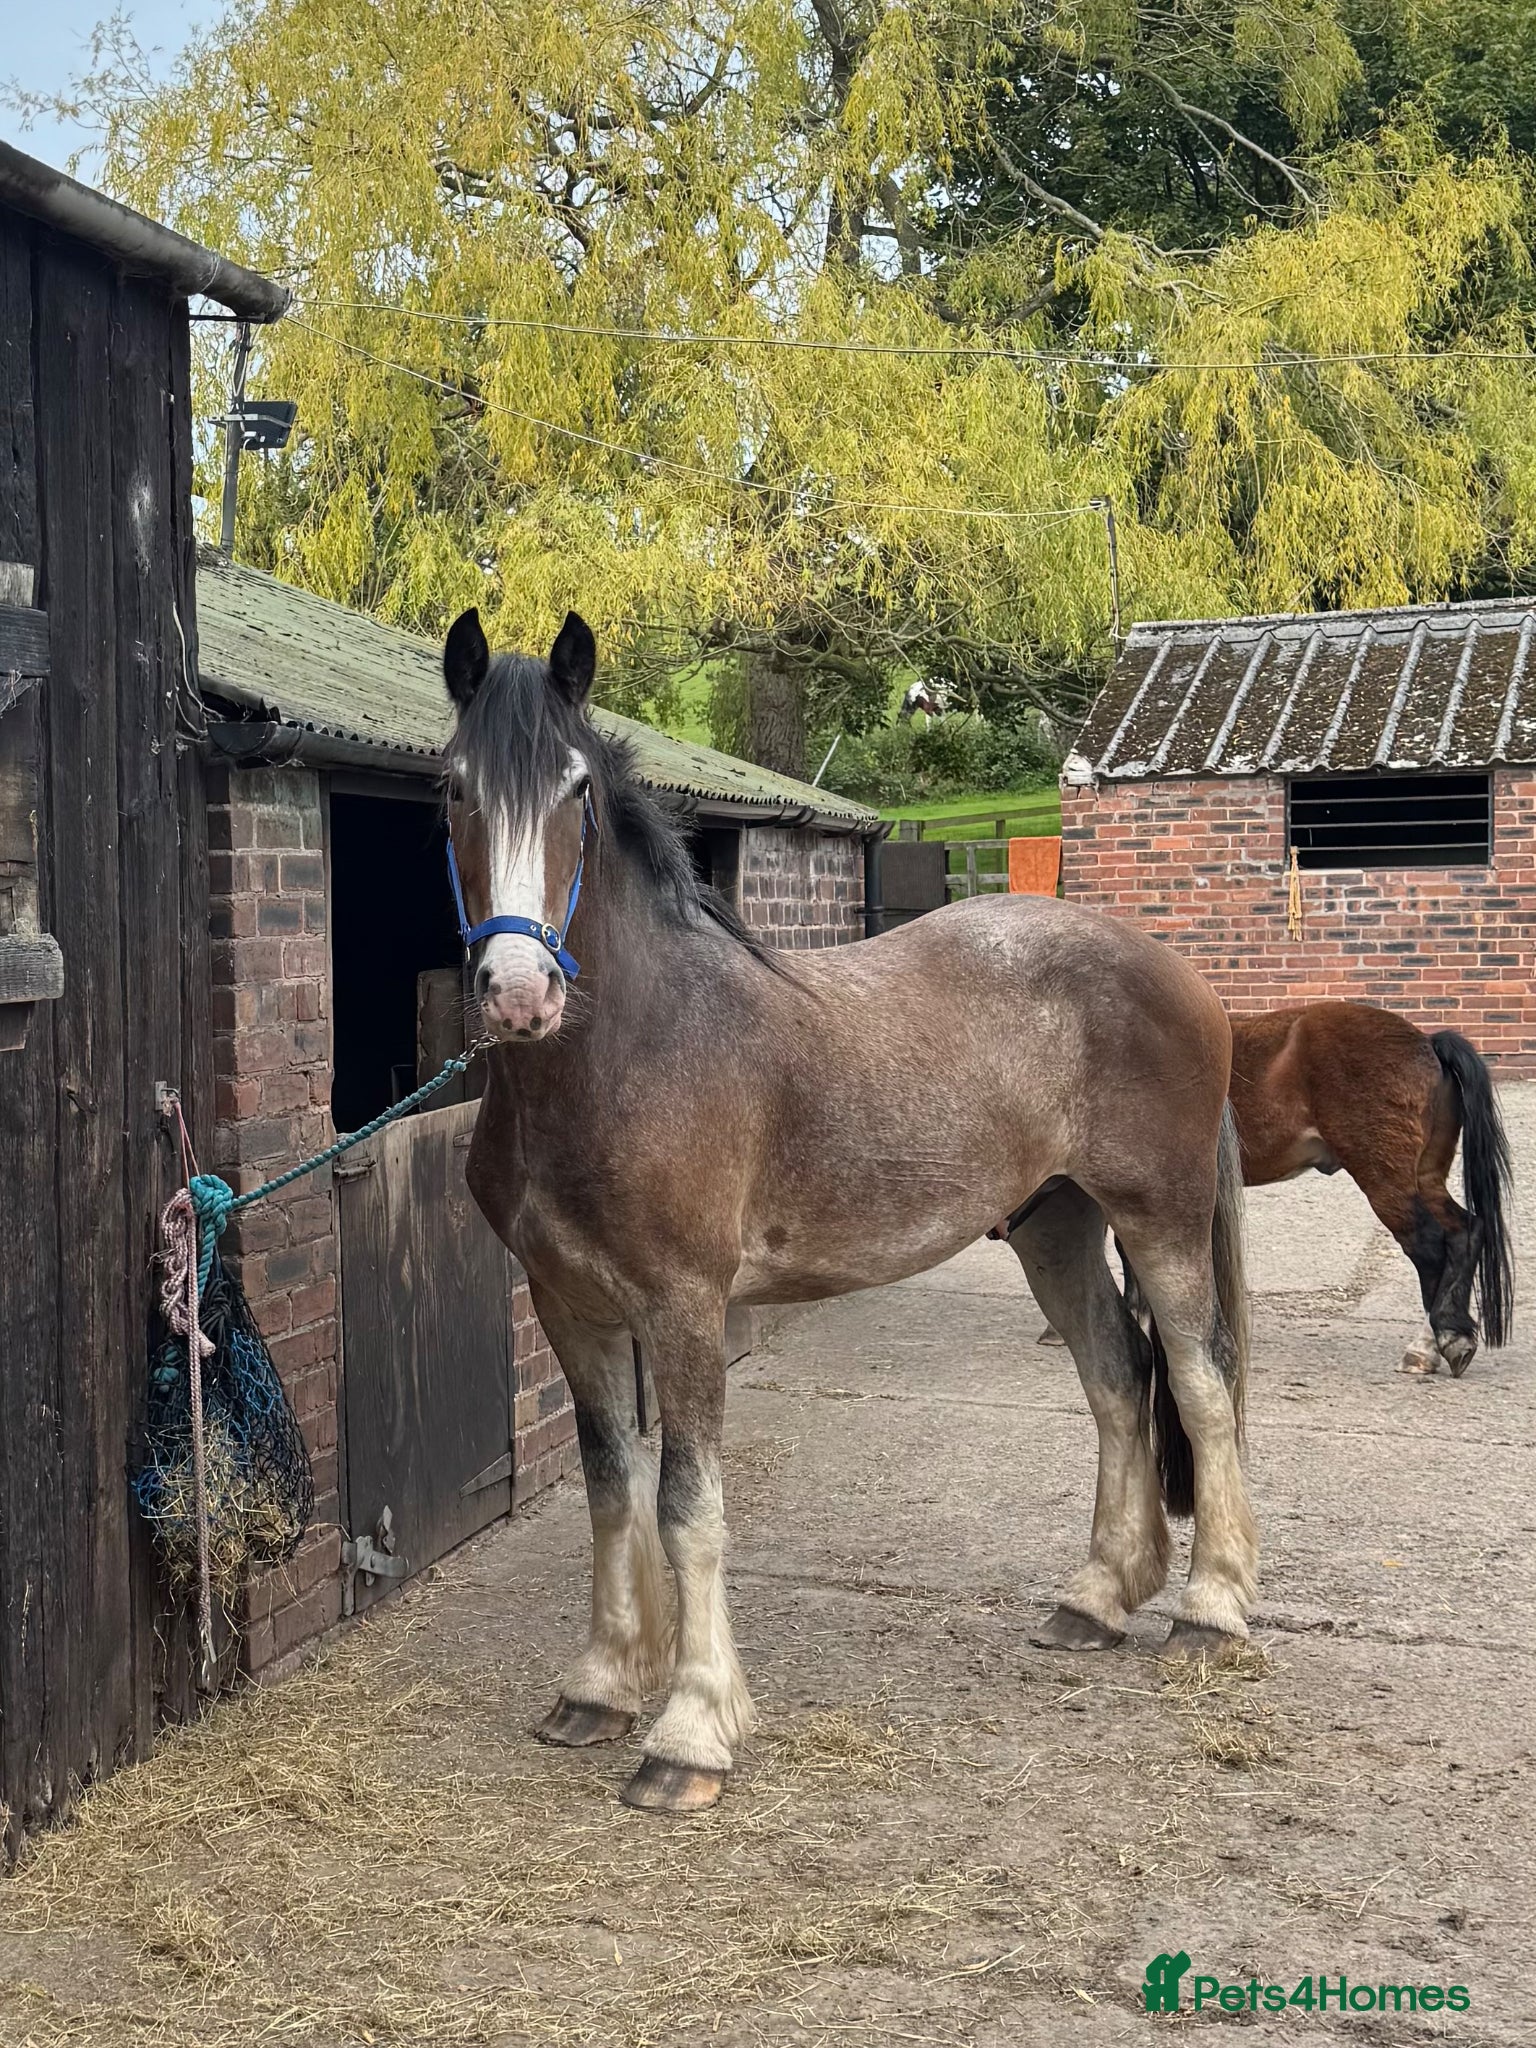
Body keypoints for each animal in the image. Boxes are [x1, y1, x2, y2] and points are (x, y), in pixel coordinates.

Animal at [441, 606, 1255, 1814]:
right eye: (453, 786)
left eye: (576, 790)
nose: (517, 993)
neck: (625, 1054)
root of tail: (1180, 974)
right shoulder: (568, 1305)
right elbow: (609, 1487)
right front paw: (599, 1685)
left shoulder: (685, 1309)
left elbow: (687, 1504)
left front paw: (691, 1732)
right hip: (1056, 1226)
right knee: (1117, 1379)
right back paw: (1097, 1597)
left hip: (1160, 1219)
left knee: (1198, 1386)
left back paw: (1211, 1607)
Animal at [1227, 1003, 1514, 1378]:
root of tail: (1427, 1042)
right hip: (1424, 1176)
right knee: (1464, 1232)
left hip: (1384, 1178)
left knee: (1429, 1246)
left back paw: (1431, 1345)